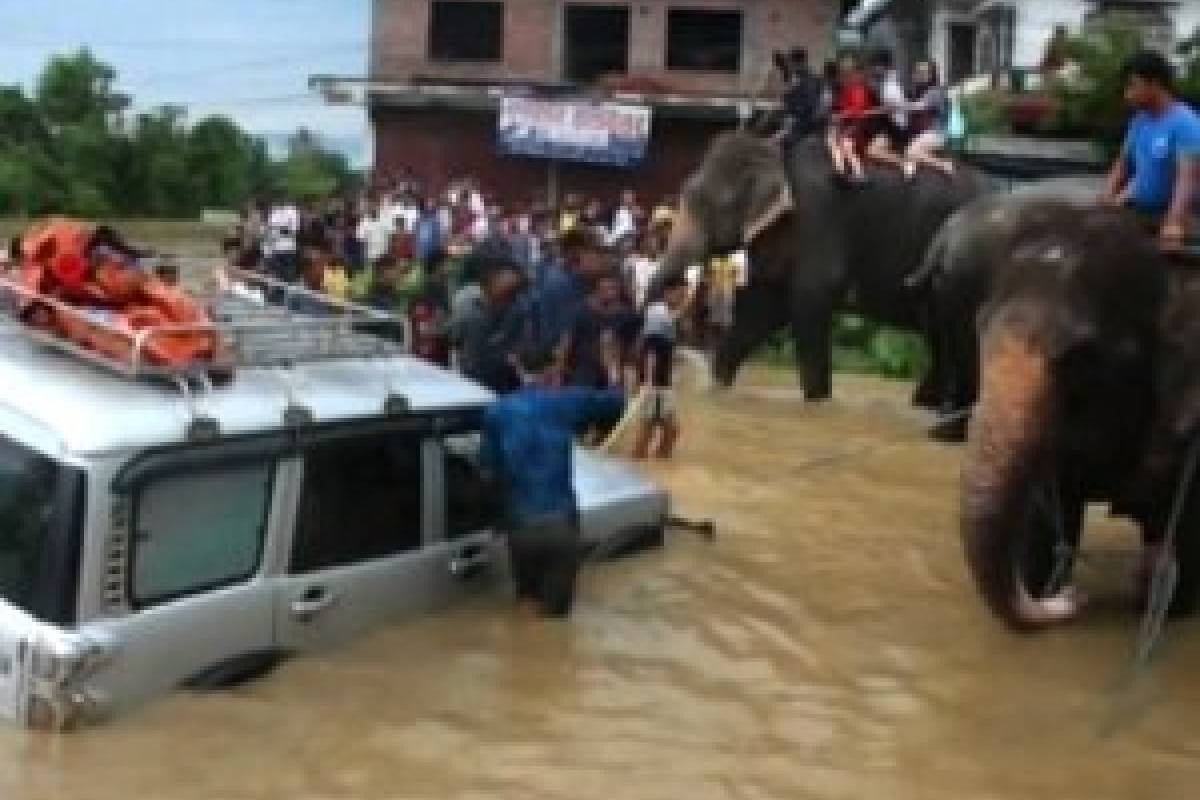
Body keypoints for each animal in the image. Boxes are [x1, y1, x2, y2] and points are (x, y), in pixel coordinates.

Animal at [648, 131, 993, 412]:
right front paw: (718, 391)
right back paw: (927, 407)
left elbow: (809, 304)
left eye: (711, 206)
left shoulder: (817, 222)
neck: (775, 150)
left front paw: (818, 405)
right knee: (941, 338)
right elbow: (759, 313)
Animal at [955, 200, 1200, 633]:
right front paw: (1047, 582)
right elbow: (1040, 537)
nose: (1073, 598)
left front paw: (1153, 580)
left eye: (1081, 356)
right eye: (980, 329)